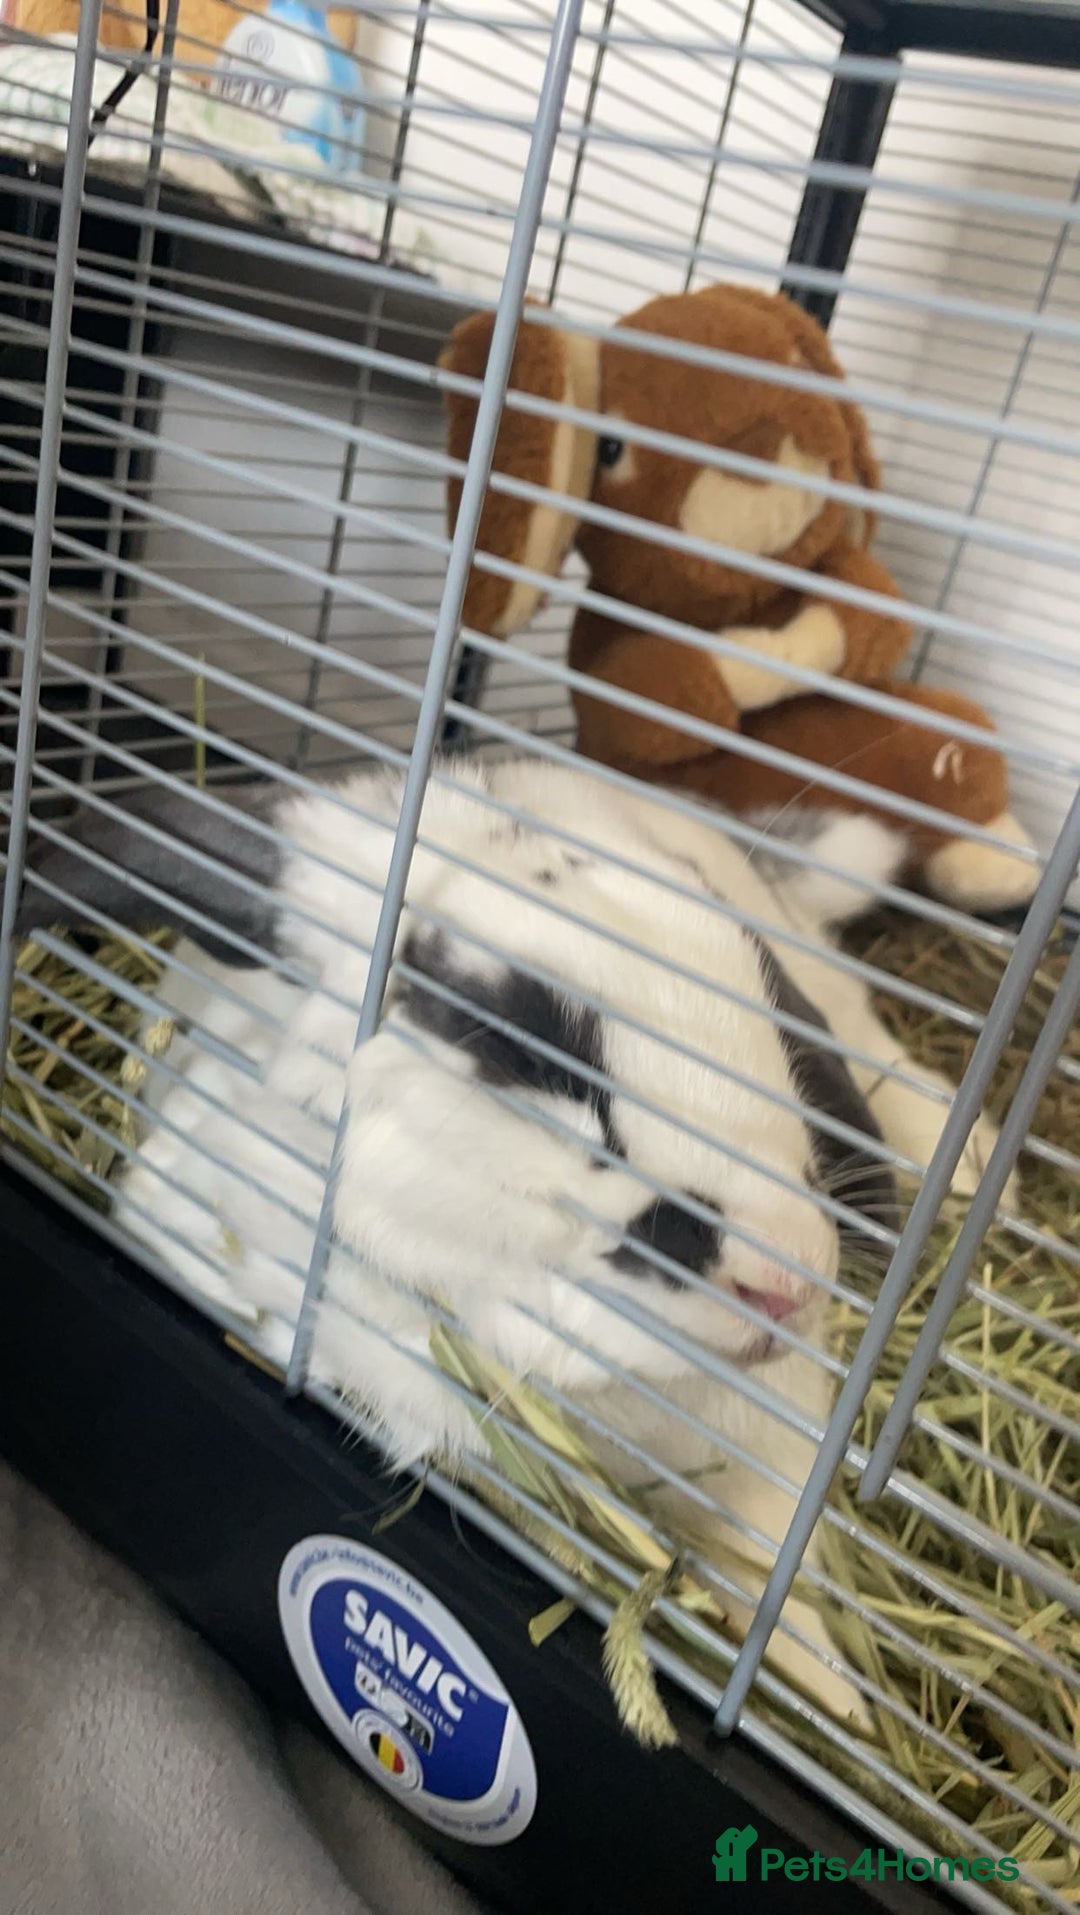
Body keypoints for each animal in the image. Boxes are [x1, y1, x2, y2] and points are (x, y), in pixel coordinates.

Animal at [14, 754, 1012, 1734]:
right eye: (522, 1051)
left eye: (745, 976)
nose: (789, 1279)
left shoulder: (770, 1467)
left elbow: (778, 1598)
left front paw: (839, 1708)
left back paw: (962, 1160)